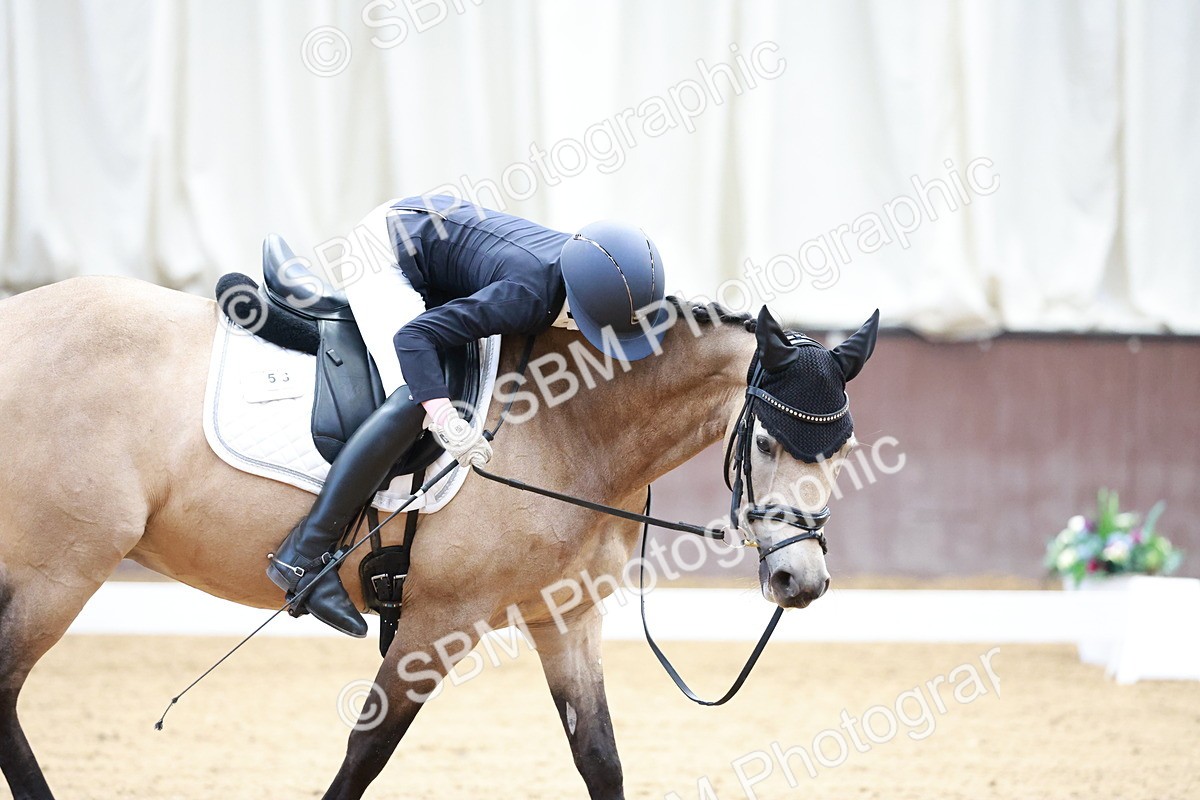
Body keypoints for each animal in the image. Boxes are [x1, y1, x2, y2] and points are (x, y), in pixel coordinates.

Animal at [0, 275, 878, 799]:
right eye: (768, 444)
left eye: (843, 452)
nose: (800, 583)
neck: (573, 426)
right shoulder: (438, 621)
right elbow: (367, 753)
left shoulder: (565, 616)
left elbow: (599, 757)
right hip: (63, 567)